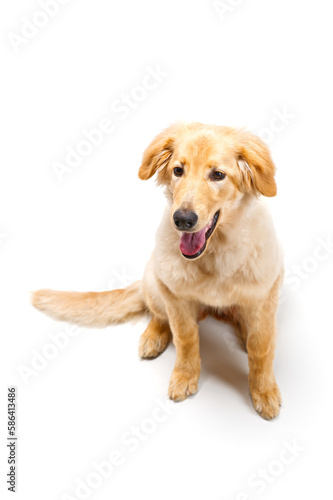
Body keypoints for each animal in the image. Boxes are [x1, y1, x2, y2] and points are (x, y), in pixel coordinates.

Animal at [32, 123, 282, 420]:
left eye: (218, 175)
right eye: (178, 170)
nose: (183, 219)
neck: (214, 253)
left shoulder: (265, 294)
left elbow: (261, 347)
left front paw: (264, 391)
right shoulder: (175, 295)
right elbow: (185, 338)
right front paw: (185, 376)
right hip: (155, 279)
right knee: (159, 315)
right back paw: (154, 337)